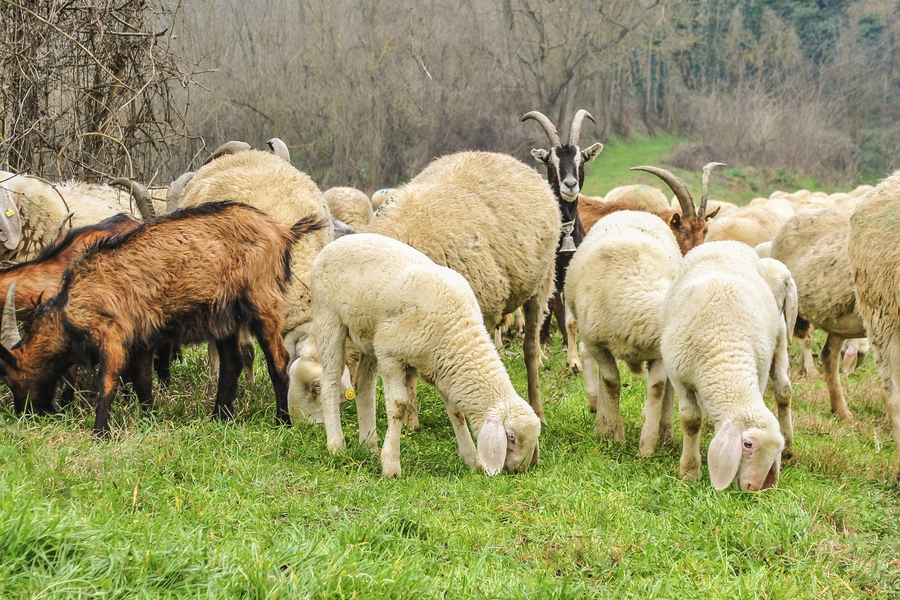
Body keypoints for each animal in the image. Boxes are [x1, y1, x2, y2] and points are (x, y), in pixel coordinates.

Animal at [0, 203, 324, 436]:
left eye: (11, 377)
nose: (26, 413)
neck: (69, 304)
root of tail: (281, 231)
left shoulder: (112, 336)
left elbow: (107, 383)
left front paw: (100, 433)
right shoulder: (142, 340)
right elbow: (143, 383)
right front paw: (147, 417)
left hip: (261, 301)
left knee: (278, 359)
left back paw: (282, 420)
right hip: (223, 315)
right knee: (231, 362)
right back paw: (220, 416)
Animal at [312, 233, 536, 478]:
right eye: (511, 436)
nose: (518, 470)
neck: (456, 331)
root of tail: (339, 241)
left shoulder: (442, 368)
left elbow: (456, 411)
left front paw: (472, 459)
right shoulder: (390, 355)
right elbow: (399, 406)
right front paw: (391, 465)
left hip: (369, 335)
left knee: (363, 386)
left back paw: (368, 445)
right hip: (328, 317)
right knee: (330, 383)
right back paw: (336, 445)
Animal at [564, 211, 684, 454]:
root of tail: (633, 211)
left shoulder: (658, 351)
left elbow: (658, 387)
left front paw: (647, 447)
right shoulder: (597, 344)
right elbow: (610, 382)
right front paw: (616, 435)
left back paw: (667, 435)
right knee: (602, 377)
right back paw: (601, 425)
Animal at [656, 241, 800, 490]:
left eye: (775, 452)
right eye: (748, 444)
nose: (754, 488)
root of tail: (726, 242)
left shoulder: (760, 371)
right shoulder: (678, 375)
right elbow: (691, 419)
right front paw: (689, 471)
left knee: (783, 390)